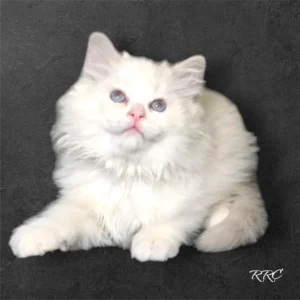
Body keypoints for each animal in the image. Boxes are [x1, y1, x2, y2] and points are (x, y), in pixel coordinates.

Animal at [8, 32, 268, 260]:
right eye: (118, 96)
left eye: (158, 106)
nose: (136, 114)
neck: (129, 170)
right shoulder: (91, 210)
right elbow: (60, 217)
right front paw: (32, 236)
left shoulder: (191, 197)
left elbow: (173, 216)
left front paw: (152, 242)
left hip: (234, 166)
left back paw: (219, 218)